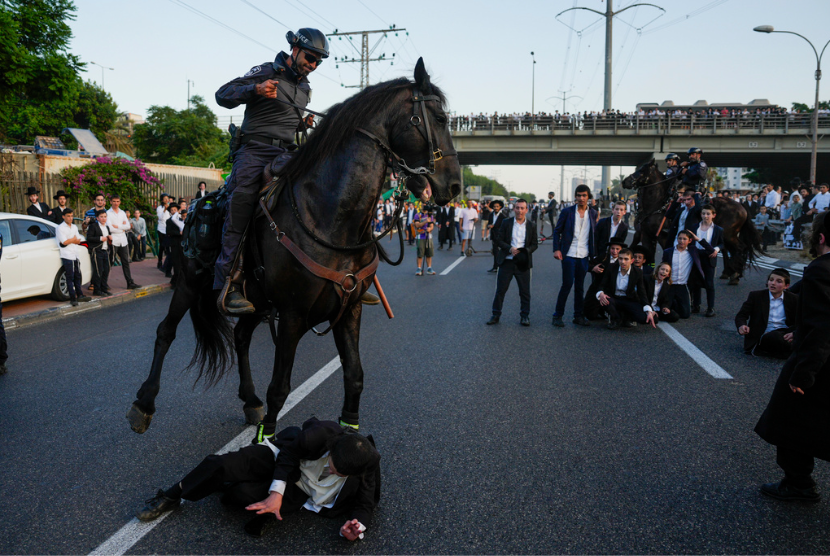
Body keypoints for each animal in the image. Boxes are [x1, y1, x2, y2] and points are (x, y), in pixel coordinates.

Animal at [126, 59, 462, 434]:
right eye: (441, 118)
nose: (455, 185)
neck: (330, 218)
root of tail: (197, 206)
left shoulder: (349, 310)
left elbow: (354, 376)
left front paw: (348, 432)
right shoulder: (292, 314)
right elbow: (280, 389)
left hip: (257, 302)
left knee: (240, 337)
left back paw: (249, 399)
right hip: (191, 281)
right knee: (166, 332)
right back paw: (144, 403)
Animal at [624, 160, 760, 282]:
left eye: (642, 170)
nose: (625, 181)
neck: (658, 204)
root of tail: (741, 206)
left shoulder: (662, 236)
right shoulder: (647, 235)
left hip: (729, 234)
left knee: (740, 248)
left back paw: (735, 274)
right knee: (732, 249)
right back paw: (731, 272)